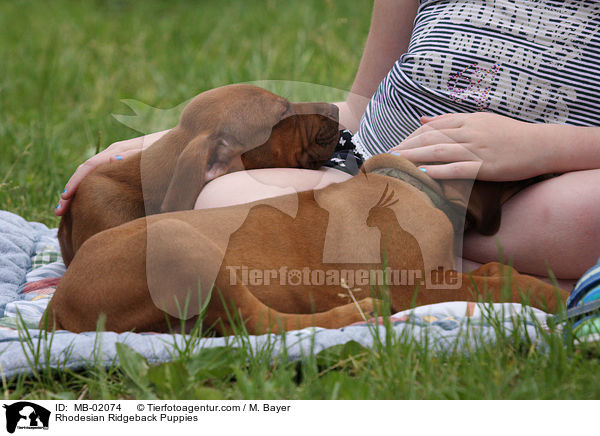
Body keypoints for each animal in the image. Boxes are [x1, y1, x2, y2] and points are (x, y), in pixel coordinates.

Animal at [42, 153, 568, 334]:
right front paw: (555, 296)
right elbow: (492, 281)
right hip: (186, 247)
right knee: (257, 326)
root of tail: (59, 304)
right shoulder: (413, 285)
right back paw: (353, 314)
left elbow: (491, 272)